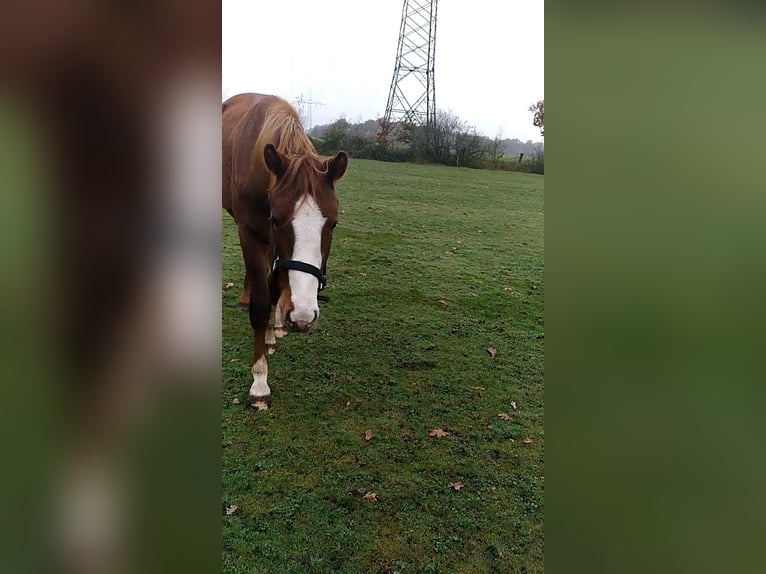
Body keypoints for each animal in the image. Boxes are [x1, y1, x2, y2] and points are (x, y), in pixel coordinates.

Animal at [220, 93, 350, 410]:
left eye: (333, 223)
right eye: (277, 219)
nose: (302, 314)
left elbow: (272, 289)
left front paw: (272, 330)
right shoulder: (251, 232)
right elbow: (259, 305)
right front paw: (259, 383)